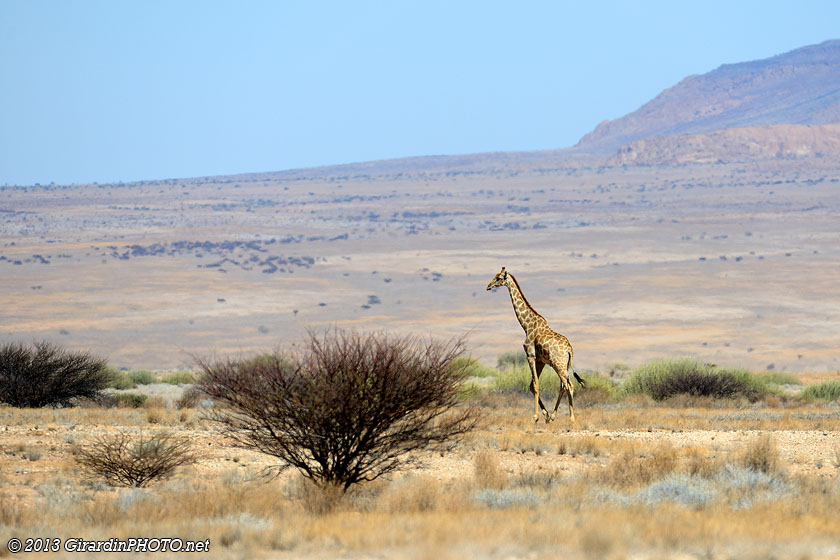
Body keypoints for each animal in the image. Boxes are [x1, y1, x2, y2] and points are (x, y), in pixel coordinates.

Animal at [486, 267, 585, 424]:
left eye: (499, 278)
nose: (488, 286)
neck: (526, 325)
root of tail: (570, 350)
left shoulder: (530, 356)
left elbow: (536, 385)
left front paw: (536, 416)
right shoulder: (540, 361)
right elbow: (531, 386)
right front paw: (546, 415)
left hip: (558, 365)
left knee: (569, 385)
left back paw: (571, 418)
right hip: (563, 365)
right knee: (563, 386)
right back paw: (554, 416)